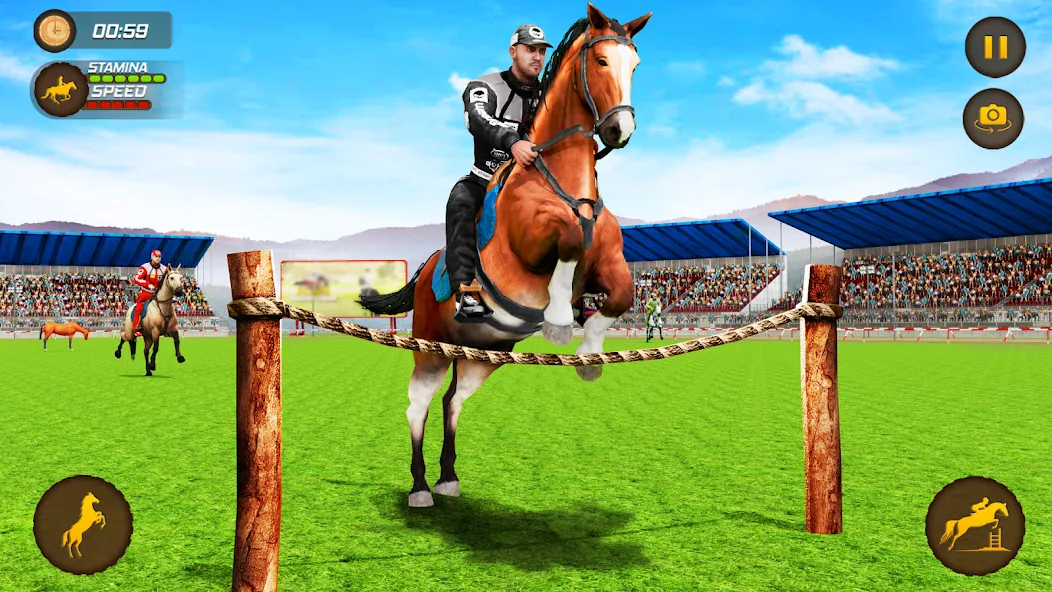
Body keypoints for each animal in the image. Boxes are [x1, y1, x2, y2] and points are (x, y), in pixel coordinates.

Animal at [359, 3, 651, 507]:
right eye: (600, 61)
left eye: (633, 65)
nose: (620, 130)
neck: (563, 182)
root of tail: (423, 274)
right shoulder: (534, 243)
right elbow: (568, 240)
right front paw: (558, 321)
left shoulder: (609, 263)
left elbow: (619, 297)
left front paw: (590, 354)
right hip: (430, 348)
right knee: (418, 406)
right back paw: (420, 487)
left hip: (482, 356)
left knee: (452, 402)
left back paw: (448, 478)